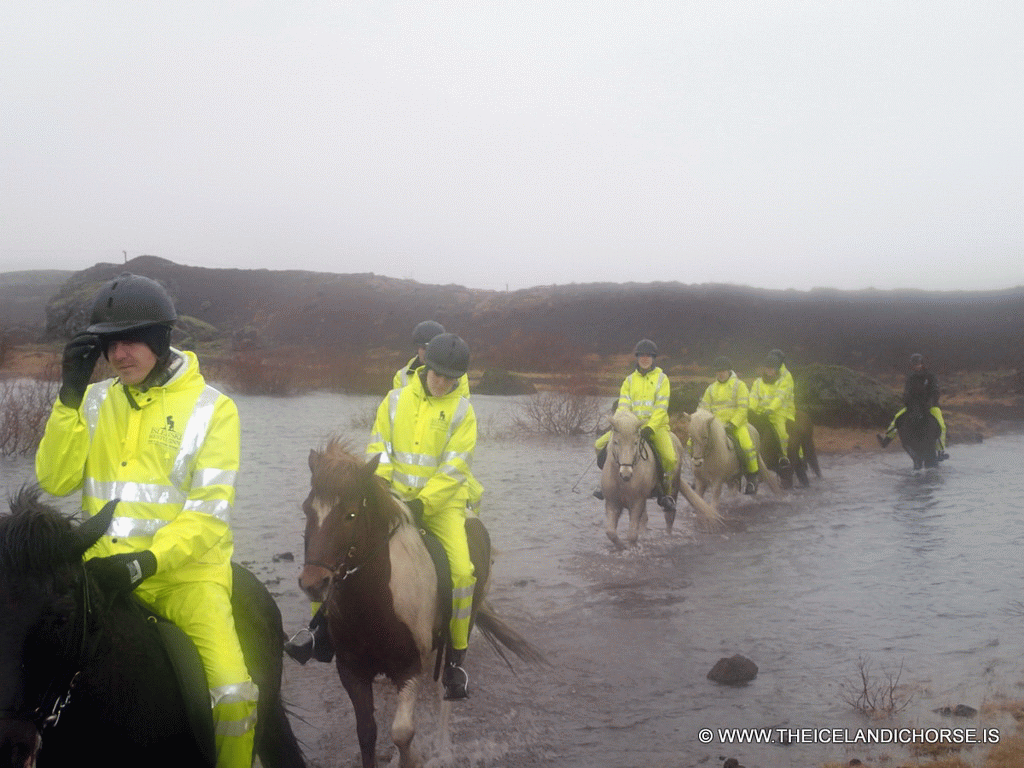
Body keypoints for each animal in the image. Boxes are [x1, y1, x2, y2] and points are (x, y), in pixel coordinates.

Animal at [296, 438, 544, 768]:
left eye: (350, 515)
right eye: (307, 510)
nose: (313, 583)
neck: (373, 602)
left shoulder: (409, 667)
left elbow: (402, 733)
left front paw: (413, 759)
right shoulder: (352, 671)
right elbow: (367, 733)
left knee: (444, 696)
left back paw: (441, 748)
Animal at [598, 409, 720, 548]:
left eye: (635, 442)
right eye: (615, 442)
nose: (626, 474)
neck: (622, 482)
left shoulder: (637, 502)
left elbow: (632, 535)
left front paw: (630, 547)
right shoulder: (612, 503)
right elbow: (611, 532)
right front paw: (621, 547)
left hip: (673, 488)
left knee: (669, 517)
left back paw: (668, 536)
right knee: (644, 520)